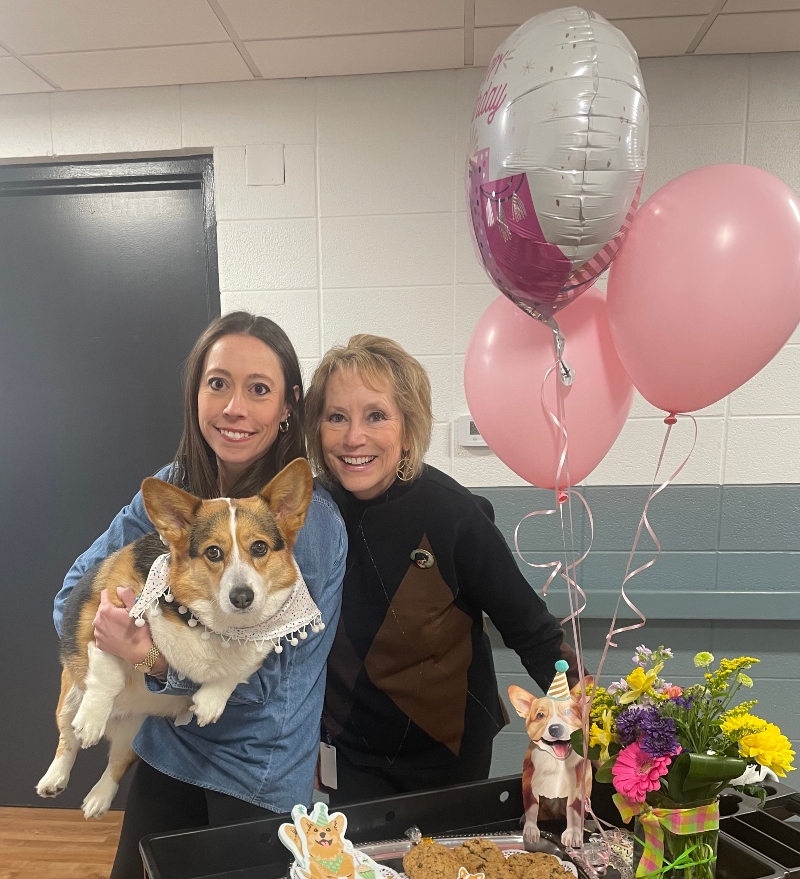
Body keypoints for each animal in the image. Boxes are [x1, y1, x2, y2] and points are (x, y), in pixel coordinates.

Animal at [36, 458, 316, 820]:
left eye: (259, 548)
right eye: (213, 552)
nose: (242, 597)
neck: (215, 625)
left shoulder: (261, 645)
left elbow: (236, 672)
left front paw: (210, 703)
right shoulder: (105, 619)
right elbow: (109, 675)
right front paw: (92, 720)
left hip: (133, 734)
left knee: (116, 764)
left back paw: (99, 799)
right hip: (69, 697)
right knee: (67, 739)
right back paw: (55, 776)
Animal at [510, 676, 592, 848]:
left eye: (568, 712)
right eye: (540, 715)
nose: (555, 729)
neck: (557, 762)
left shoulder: (578, 791)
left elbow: (573, 811)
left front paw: (573, 833)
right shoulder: (530, 787)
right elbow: (532, 809)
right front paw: (531, 830)